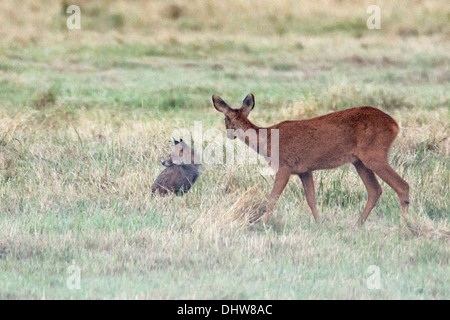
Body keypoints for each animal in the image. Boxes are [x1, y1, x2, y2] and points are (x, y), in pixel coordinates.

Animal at [213, 92, 410, 224]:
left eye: (225, 120)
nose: (229, 134)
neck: (267, 139)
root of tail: (395, 125)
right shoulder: (305, 170)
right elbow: (311, 199)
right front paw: (319, 223)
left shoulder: (285, 166)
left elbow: (273, 197)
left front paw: (262, 223)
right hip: (359, 161)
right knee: (375, 190)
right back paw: (357, 225)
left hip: (374, 154)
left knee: (402, 185)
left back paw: (405, 224)